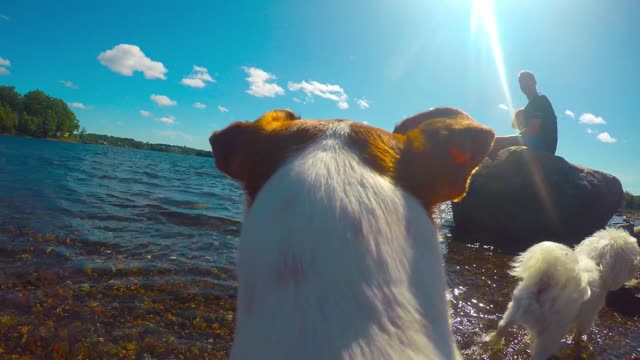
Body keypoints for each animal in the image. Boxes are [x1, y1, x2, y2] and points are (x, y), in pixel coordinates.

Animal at [488, 228, 636, 360]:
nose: (636, 267)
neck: (597, 263)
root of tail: (546, 281)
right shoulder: (586, 318)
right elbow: (578, 335)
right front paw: (578, 344)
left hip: (514, 310)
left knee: (501, 327)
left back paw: (494, 345)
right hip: (549, 336)